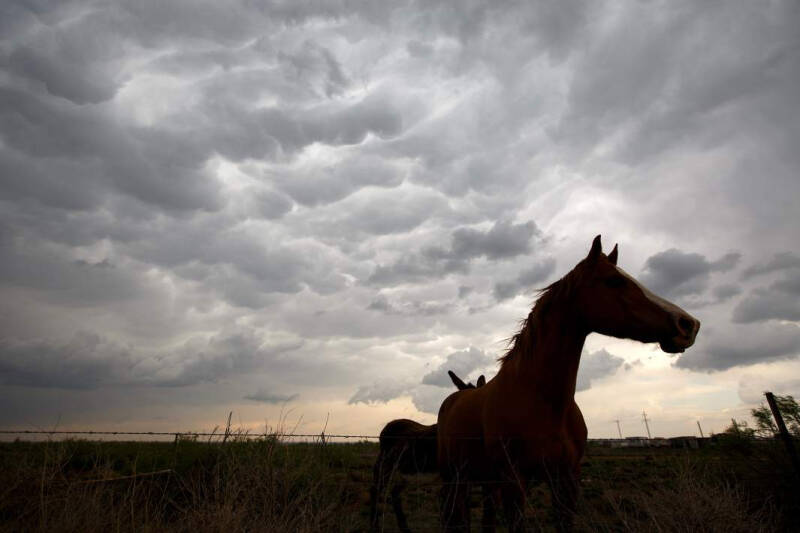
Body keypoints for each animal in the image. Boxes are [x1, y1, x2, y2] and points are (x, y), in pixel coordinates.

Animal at [372, 370, 490, 532]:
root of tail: (389, 426)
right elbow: (451, 512)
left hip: (407, 473)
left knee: (394, 492)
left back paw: (404, 528)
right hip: (387, 467)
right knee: (376, 490)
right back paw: (375, 525)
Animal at [438, 237, 700, 532]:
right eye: (614, 281)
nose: (688, 324)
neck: (545, 403)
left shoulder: (566, 481)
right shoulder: (514, 483)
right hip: (455, 477)